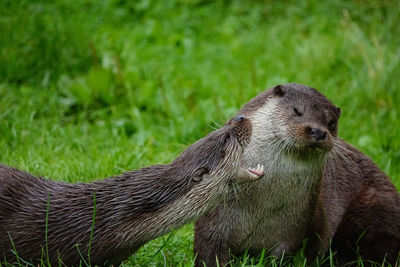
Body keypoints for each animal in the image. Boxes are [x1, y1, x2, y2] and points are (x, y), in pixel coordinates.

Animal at [194, 84, 400, 266]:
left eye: (331, 123)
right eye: (297, 110)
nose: (318, 131)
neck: (261, 206)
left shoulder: (296, 230)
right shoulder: (214, 220)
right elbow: (208, 252)